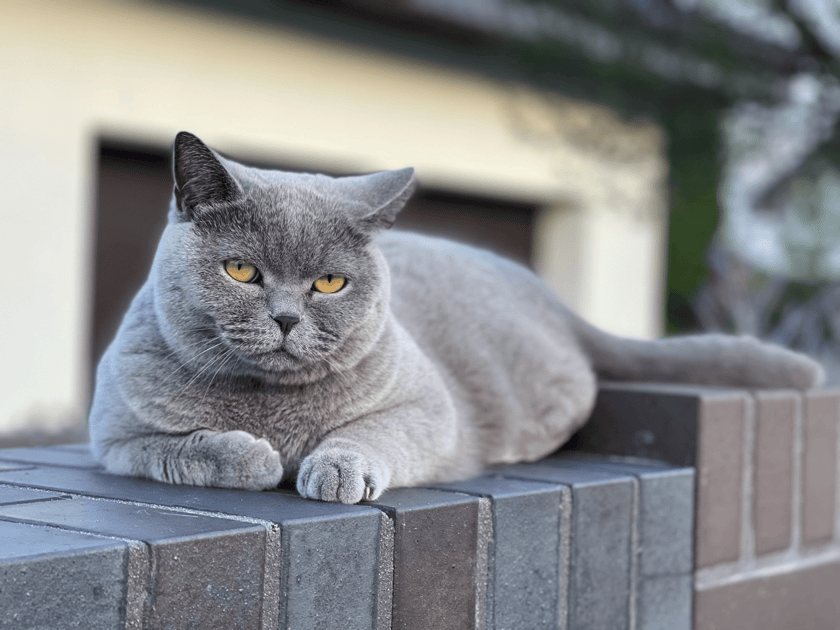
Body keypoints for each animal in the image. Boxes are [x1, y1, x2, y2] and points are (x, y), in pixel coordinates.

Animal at [88, 132, 824, 504]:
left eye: (329, 282)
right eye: (241, 271)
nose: (288, 318)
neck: (268, 403)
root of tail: (549, 296)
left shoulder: (427, 406)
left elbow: (374, 432)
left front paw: (335, 469)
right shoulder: (115, 436)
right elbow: (177, 448)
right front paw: (248, 455)